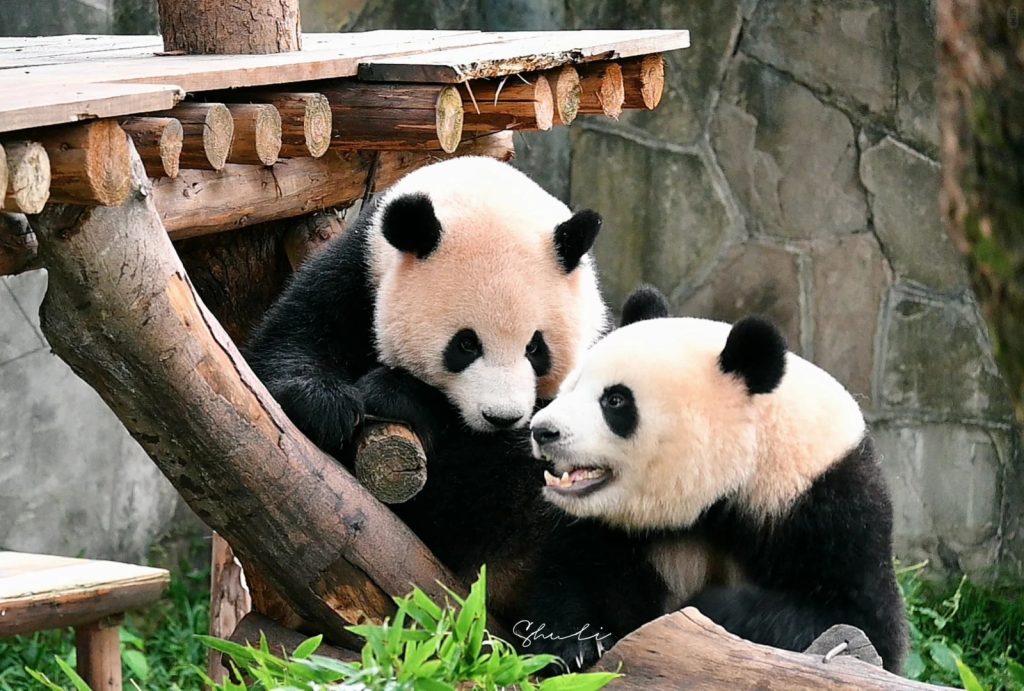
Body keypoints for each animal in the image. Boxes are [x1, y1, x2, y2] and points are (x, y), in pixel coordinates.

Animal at [244, 156, 611, 620]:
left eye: (535, 347)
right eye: (466, 344)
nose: (503, 417)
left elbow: (485, 484)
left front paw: (395, 393)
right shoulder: (358, 273)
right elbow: (286, 344)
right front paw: (328, 406)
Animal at [528, 286, 909, 672]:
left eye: (615, 400)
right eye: (571, 386)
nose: (542, 431)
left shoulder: (829, 505)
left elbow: (855, 620)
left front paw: (709, 611)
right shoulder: (604, 527)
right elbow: (573, 574)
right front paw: (574, 645)